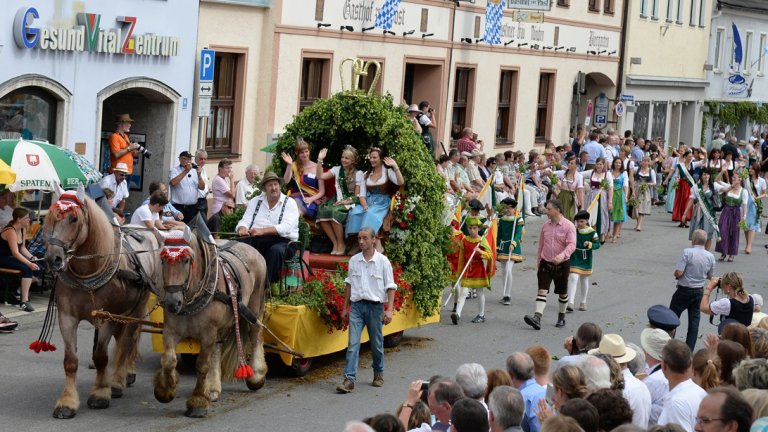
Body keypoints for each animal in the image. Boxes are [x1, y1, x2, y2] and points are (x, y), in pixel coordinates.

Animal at [43, 187, 164, 416]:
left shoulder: (107, 317)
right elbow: (70, 361)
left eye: (74, 218)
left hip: (136, 309)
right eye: (50, 217)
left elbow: (100, 357)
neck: (87, 274)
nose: (53, 259)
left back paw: (118, 380)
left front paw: (100, 393)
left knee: (128, 341)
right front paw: (67, 402)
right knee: (124, 340)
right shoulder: (67, 317)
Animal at [153, 224, 268, 416]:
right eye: (162, 260)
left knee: (255, 336)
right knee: (217, 350)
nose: (172, 303)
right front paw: (166, 391)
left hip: (254, 307)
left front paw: (198, 401)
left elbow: (202, 365)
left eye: (186, 260)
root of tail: (252, 249)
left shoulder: (207, 333)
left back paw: (257, 375)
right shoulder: (171, 330)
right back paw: (214, 388)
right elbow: (169, 360)